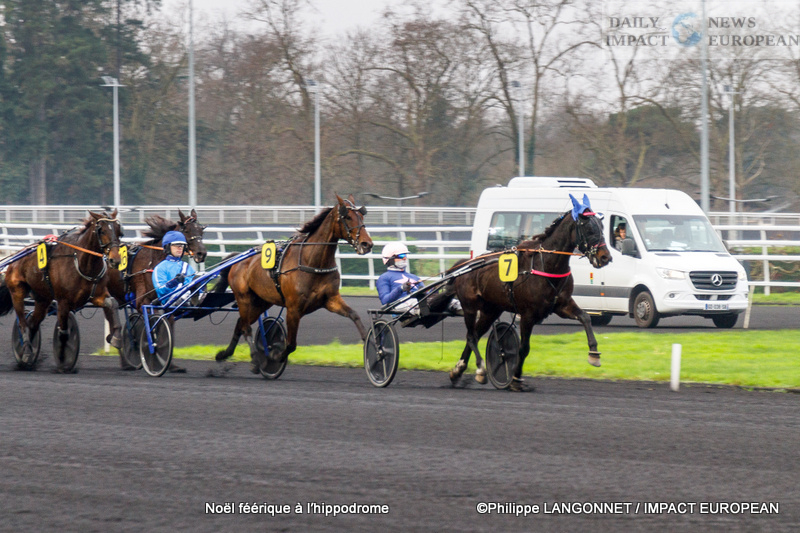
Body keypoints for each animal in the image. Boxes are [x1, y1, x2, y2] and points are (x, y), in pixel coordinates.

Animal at [0, 210, 124, 372]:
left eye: (118, 230)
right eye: (101, 230)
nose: (115, 260)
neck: (82, 263)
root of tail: (17, 256)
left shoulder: (98, 295)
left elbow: (112, 303)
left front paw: (115, 338)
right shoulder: (64, 301)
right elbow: (64, 332)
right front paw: (63, 358)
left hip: (43, 299)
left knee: (33, 324)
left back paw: (26, 355)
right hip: (17, 291)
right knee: (22, 323)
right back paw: (26, 352)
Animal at [213, 194, 373, 374]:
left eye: (361, 216)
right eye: (347, 217)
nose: (367, 244)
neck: (312, 262)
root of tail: (237, 260)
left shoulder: (331, 299)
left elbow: (354, 314)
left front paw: (370, 341)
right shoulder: (294, 309)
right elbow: (290, 345)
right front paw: (274, 356)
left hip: (261, 302)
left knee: (240, 323)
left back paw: (224, 354)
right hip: (244, 298)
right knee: (246, 327)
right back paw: (255, 360)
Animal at [447, 194, 613, 391]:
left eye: (601, 226)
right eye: (588, 227)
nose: (605, 257)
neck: (546, 264)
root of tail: (464, 264)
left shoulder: (562, 304)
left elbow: (585, 317)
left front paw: (594, 354)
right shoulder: (528, 314)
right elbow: (524, 348)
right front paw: (515, 379)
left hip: (490, 309)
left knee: (475, 335)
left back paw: (457, 371)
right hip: (470, 306)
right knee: (471, 336)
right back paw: (480, 369)